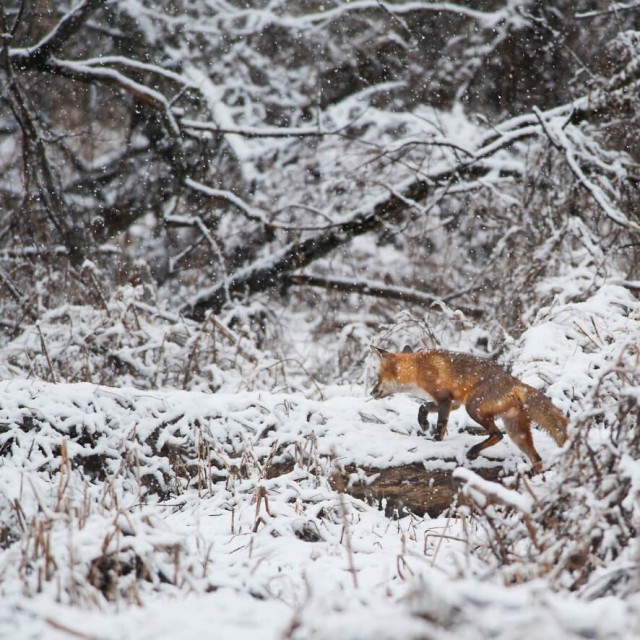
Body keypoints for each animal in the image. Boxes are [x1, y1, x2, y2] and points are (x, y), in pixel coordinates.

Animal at [370, 348, 568, 472]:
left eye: (378, 378)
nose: (371, 392)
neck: (418, 367)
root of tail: (516, 382)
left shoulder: (444, 399)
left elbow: (441, 424)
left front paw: (435, 441)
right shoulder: (453, 403)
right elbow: (423, 406)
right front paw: (424, 423)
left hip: (473, 407)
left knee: (497, 434)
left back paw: (474, 451)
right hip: (516, 432)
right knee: (537, 458)